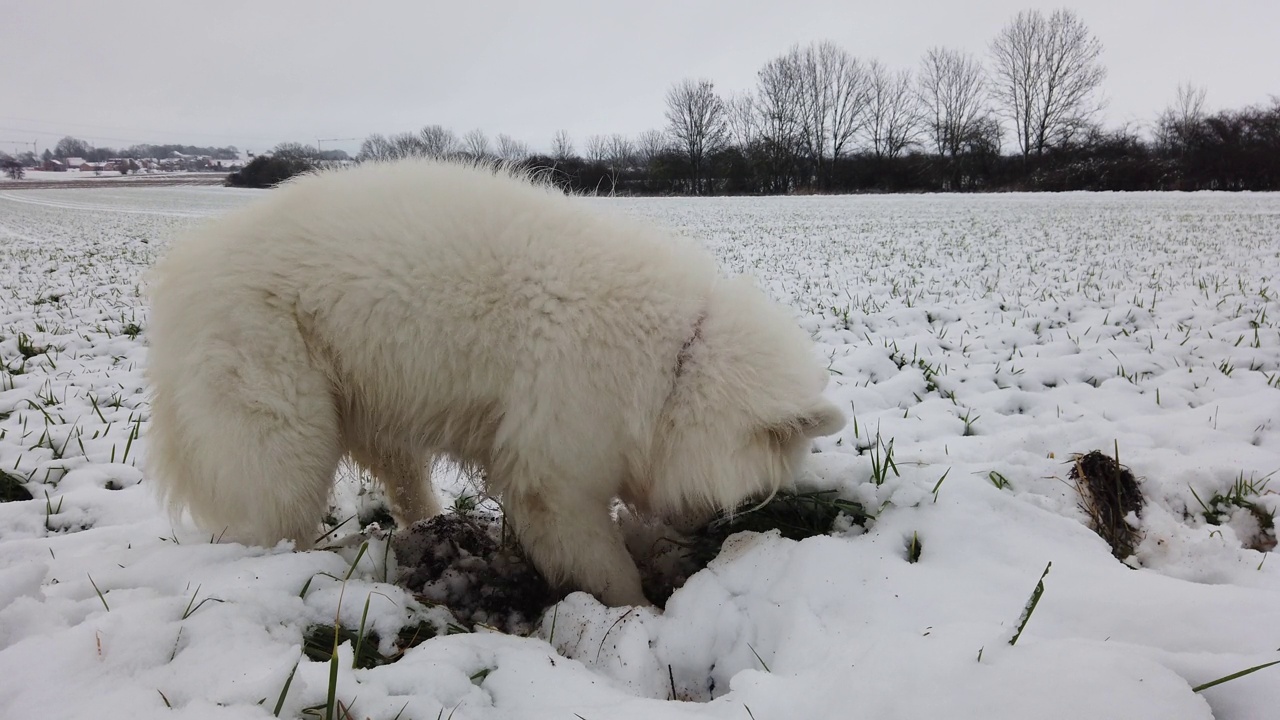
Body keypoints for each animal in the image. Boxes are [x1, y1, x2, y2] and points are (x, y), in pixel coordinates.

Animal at [145, 158, 844, 604]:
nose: (701, 532)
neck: (678, 361)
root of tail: (184, 273)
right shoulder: (553, 480)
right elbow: (605, 567)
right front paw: (637, 614)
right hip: (286, 439)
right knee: (274, 522)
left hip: (375, 411)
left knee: (406, 487)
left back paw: (431, 534)